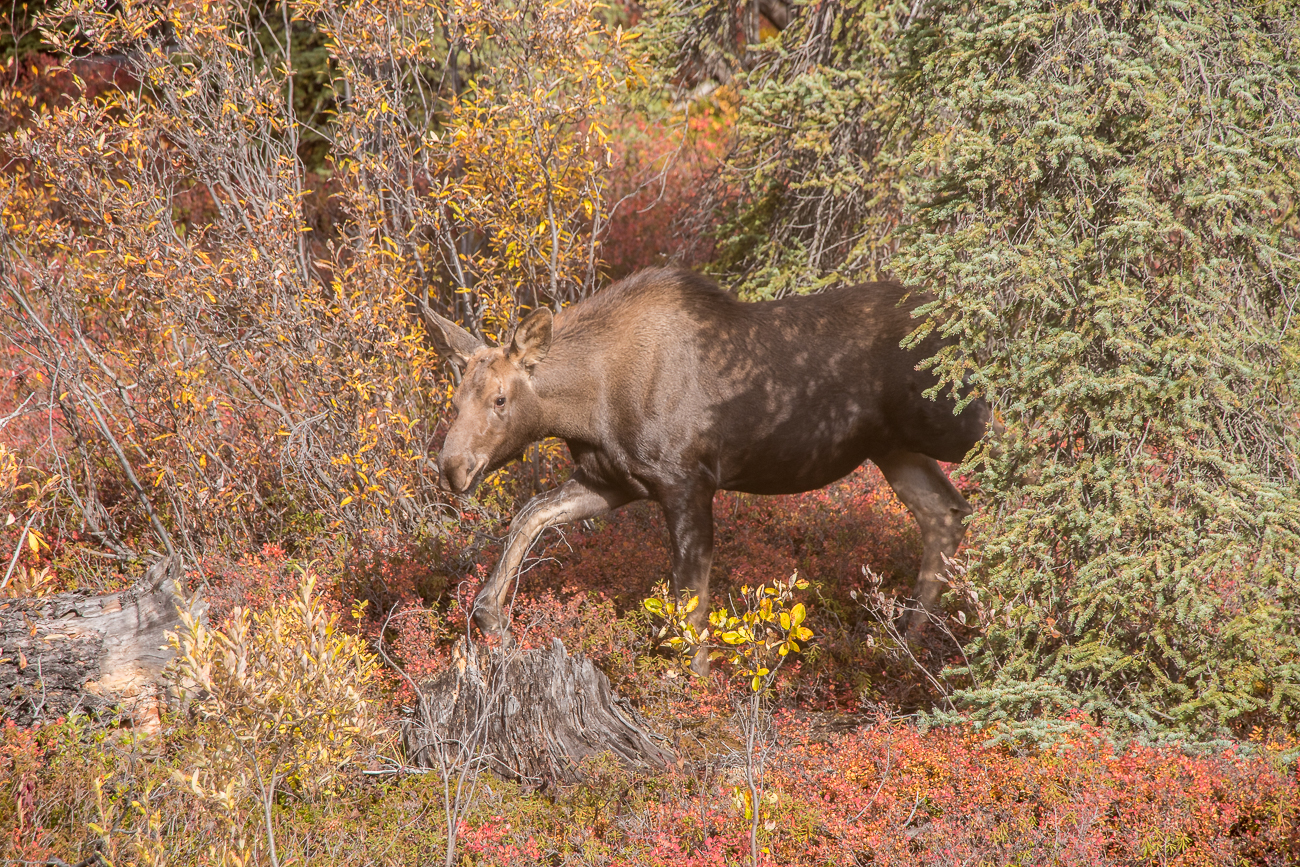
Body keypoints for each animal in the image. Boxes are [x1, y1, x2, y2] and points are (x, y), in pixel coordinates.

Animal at [421, 267, 987, 675]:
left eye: (499, 399)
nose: (452, 469)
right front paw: (491, 616)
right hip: (893, 448)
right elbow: (530, 515)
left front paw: (694, 690)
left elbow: (689, 602)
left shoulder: (687, 483)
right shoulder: (612, 481)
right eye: (454, 399)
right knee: (945, 512)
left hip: (949, 420)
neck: (587, 407)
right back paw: (908, 643)